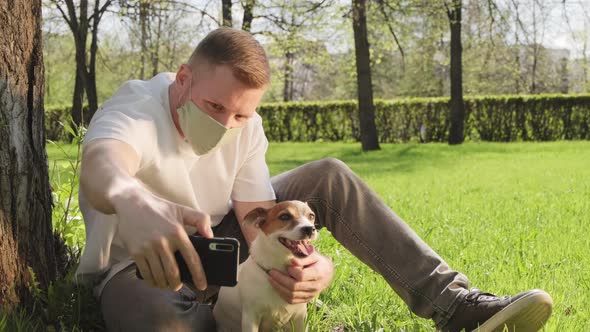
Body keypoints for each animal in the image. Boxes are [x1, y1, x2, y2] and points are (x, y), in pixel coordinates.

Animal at [214, 201, 320, 330]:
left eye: (311, 216)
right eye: (285, 216)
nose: (310, 229)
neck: (280, 266)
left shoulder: (300, 317)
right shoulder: (251, 317)